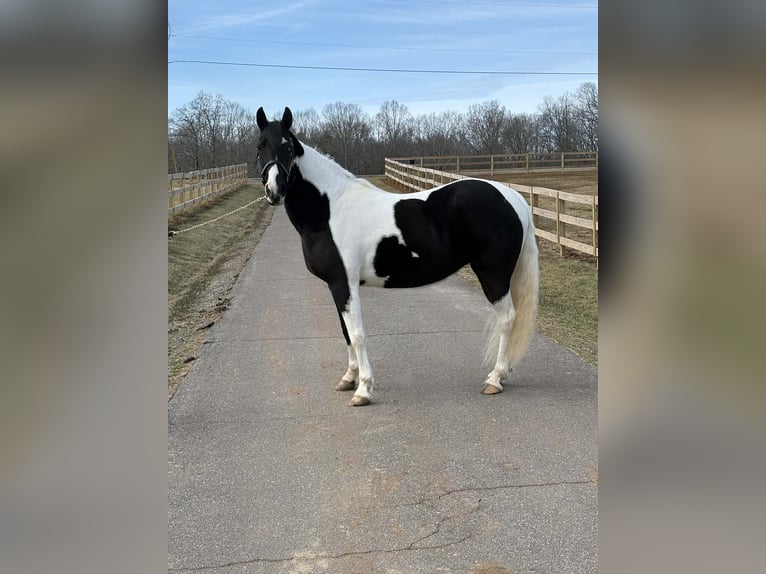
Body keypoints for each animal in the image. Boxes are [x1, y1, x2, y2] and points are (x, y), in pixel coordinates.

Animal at [255, 106, 539, 406]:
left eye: (287, 146)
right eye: (260, 145)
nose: (274, 190)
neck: (329, 209)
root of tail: (513, 198)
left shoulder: (345, 283)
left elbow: (357, 334)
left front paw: (363, 389)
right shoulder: (335, 286)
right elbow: (345, 333)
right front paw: (349, 378)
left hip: (493, 275)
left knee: (507, 319)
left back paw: (495, 379)